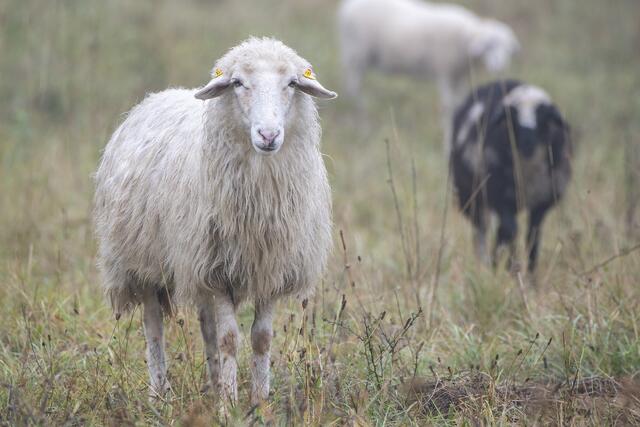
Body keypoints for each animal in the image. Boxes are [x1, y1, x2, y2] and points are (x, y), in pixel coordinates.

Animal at [93, 37, 337, 404]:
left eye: (292, 83)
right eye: (237, 83)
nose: (268, 135)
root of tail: (156, 97)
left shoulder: (269, 267)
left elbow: (260, 339)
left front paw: (257, 402)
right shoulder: (217, 271)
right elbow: (229, 340)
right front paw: (230, 405)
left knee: (206, 326)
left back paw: (214, 384)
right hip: (142, 259)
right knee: (153, 326)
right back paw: (160, 393)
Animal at [338, 0, 519, 152]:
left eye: (508, 50)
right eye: (489, 46)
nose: (500, 67)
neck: (466, 37)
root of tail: (347, 7)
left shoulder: (459, 76)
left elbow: (460, 104)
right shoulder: (444, 71)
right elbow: (448, 106)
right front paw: (447, 142)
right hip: (355, 56)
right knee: (353, 88)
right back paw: (362, 120)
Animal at [450, 80, 572, 280]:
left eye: (543, 117)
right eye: (512, 119)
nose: (527, 143)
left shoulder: (541, 203)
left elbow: (532, 236)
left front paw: (530, 277)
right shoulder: (498, 195)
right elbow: (511, 230)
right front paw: (511, 268)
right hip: (472, 198)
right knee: (485, 230)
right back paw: (491, 263)